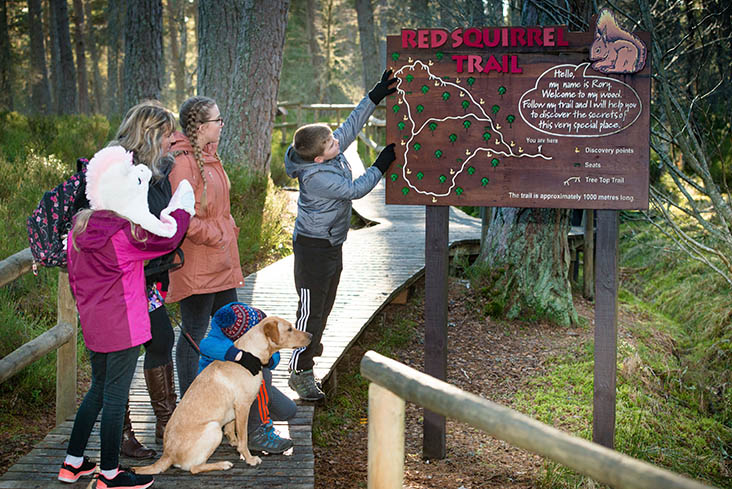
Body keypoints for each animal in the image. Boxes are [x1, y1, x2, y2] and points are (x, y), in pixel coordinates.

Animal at [134, 316, 312, 472]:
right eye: (289, 329)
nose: (311, 335)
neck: (251, 355)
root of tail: (167, 454)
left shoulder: (233, 409)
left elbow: (231, 428)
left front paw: (233, 442)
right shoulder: (243, 405)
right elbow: (243, 438)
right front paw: (249, 458)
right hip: (212, 428)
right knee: (194, 468)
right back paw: (222, 464)